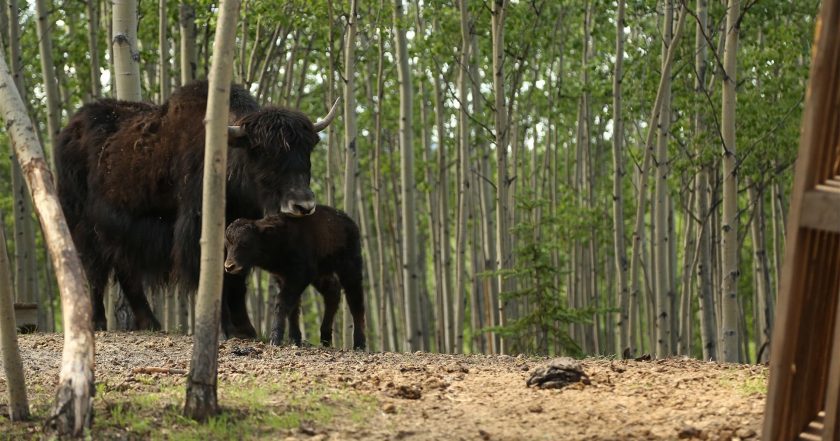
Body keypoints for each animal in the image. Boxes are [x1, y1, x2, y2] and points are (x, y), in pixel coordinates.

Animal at [225, 207, 366, 350]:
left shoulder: (298, 277)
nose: (229, 266)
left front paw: (275, 338)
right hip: (321, 275)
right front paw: (294, 339)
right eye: (227, 244)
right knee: (333, 292)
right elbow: (293, 308)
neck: (277, 238)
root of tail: (349, 221)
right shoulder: (283, 278)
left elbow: (282, 302)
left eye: (245, 243)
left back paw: (359, 344)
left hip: (350, 269)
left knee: (355, 301)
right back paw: (325, 339)